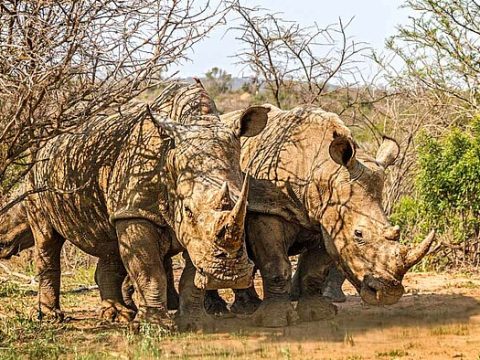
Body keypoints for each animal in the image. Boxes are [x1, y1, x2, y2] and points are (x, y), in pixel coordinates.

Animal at [1, 82, 268, 330]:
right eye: (188, 211)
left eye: (244, 206)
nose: (228, 275)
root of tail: (45, 146)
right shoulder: (137, 211)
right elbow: (150, 270)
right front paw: (158, 325)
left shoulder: (192, 234)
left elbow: (191, 273)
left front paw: (194, 321)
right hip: (38, 178)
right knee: (47, 239)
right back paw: (52, 317)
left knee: (111, 243)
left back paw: (117, 314)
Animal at [204, 103, 436, 326]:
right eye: (358, 235)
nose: (389, 293)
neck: (324, 172)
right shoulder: (268, 211)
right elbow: (275, 265)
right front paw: (275, 321)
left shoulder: (328, 219)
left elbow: (314, 271)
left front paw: (317, 314)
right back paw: (221, 311)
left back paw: (247, 308)